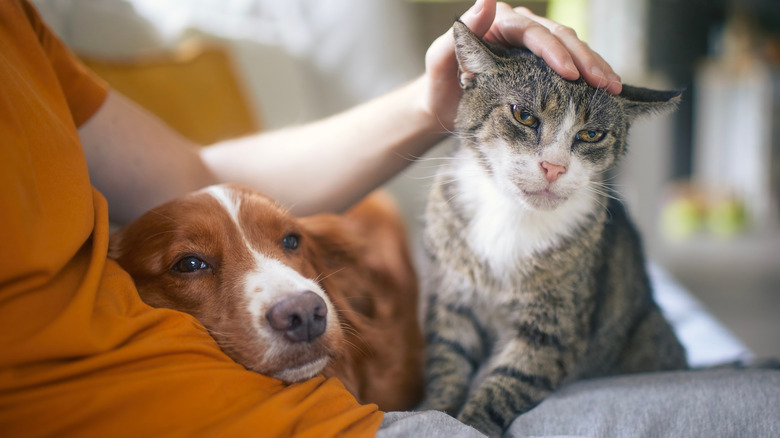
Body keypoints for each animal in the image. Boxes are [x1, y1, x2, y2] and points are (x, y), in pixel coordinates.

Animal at [420, 20, 688, 434]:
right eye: (523, 115)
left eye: (592, 134)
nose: (554, 167)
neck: (511, 215)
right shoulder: (452, 300)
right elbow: (448, 363)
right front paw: (437, 413)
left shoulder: (553, 327)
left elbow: (508, 382)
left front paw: (471, 424)